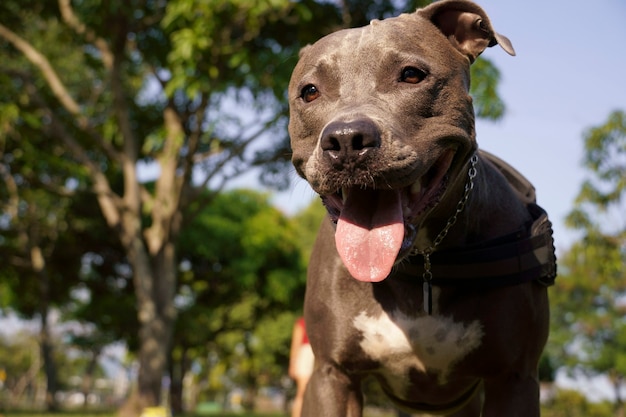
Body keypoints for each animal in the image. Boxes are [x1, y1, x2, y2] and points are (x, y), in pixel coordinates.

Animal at [286, 0, 552, 416]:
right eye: (310, 92)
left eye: (412, 75)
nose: (345, 140)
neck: (423, 259)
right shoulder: (332, 376)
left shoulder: (514, 379)